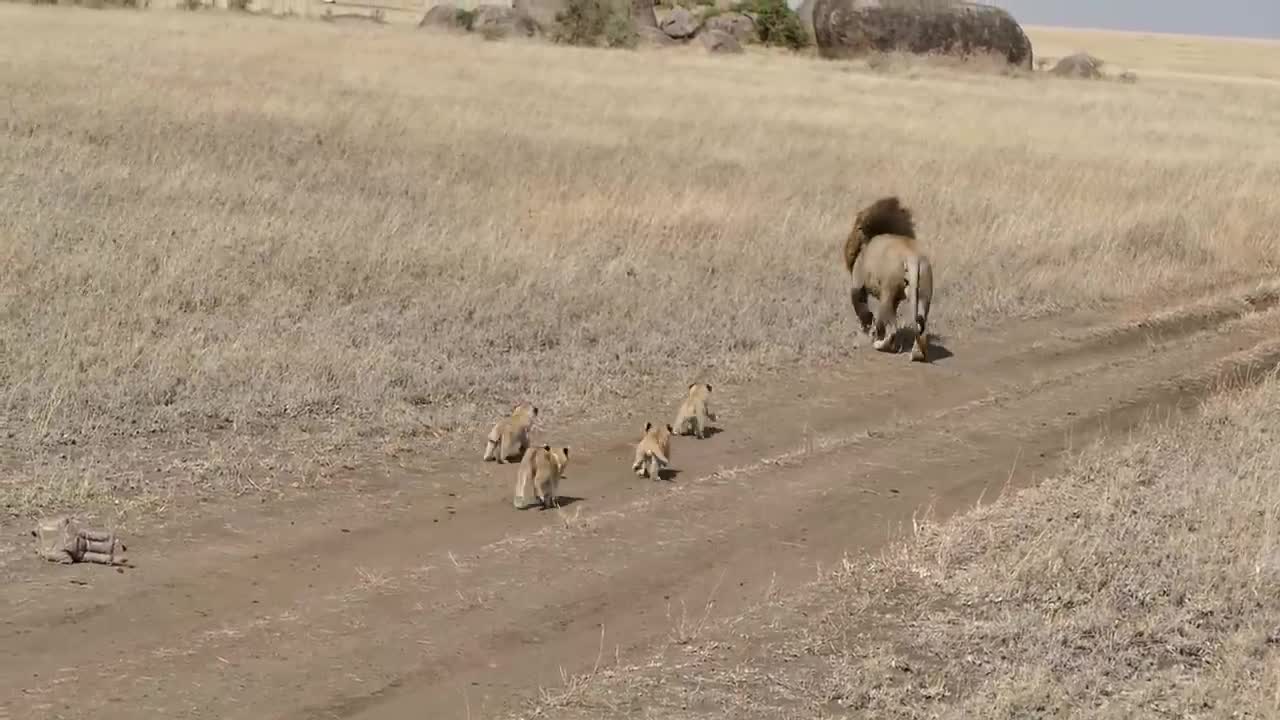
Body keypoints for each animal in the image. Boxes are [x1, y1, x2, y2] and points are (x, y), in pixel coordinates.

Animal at [844, 194, 936, 361]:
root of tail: (913, 257)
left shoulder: (857, 284)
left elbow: (863, 311)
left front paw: (867, 330)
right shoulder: (897, 299)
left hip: (887, 294)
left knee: (891, 328)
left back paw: (880, 344)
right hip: (924, 294)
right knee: (921, 327)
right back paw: (917, 354)